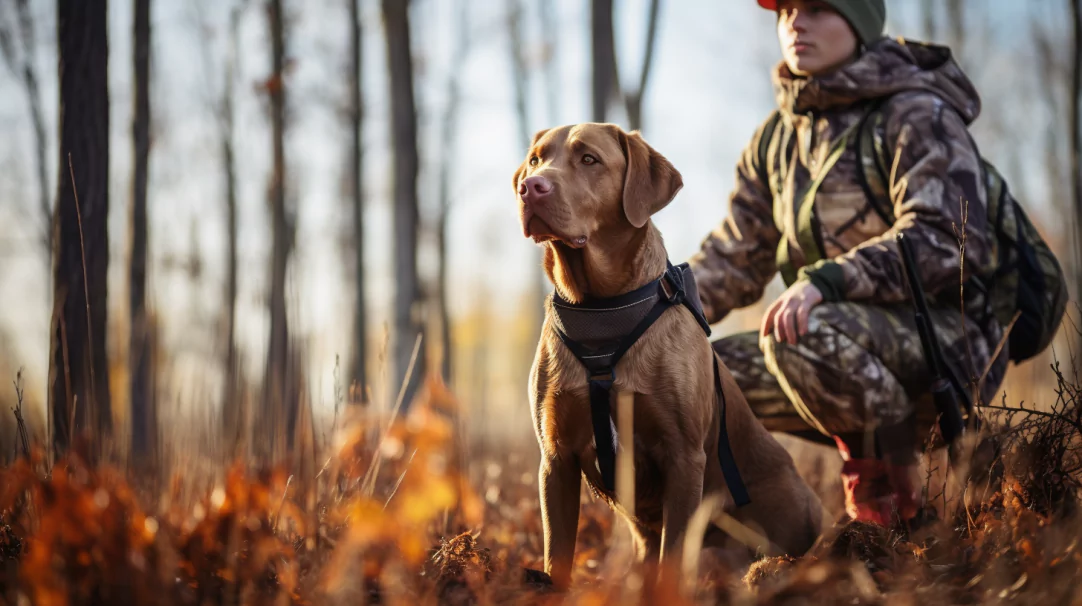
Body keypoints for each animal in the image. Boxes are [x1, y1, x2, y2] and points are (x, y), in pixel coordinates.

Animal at [512, 121, 817, 588]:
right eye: (535, 160)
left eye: (589, 159)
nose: (530, 187)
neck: (599, 309)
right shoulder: (555, 459)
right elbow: (557, 556)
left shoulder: (684, 456)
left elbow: (673, 557)